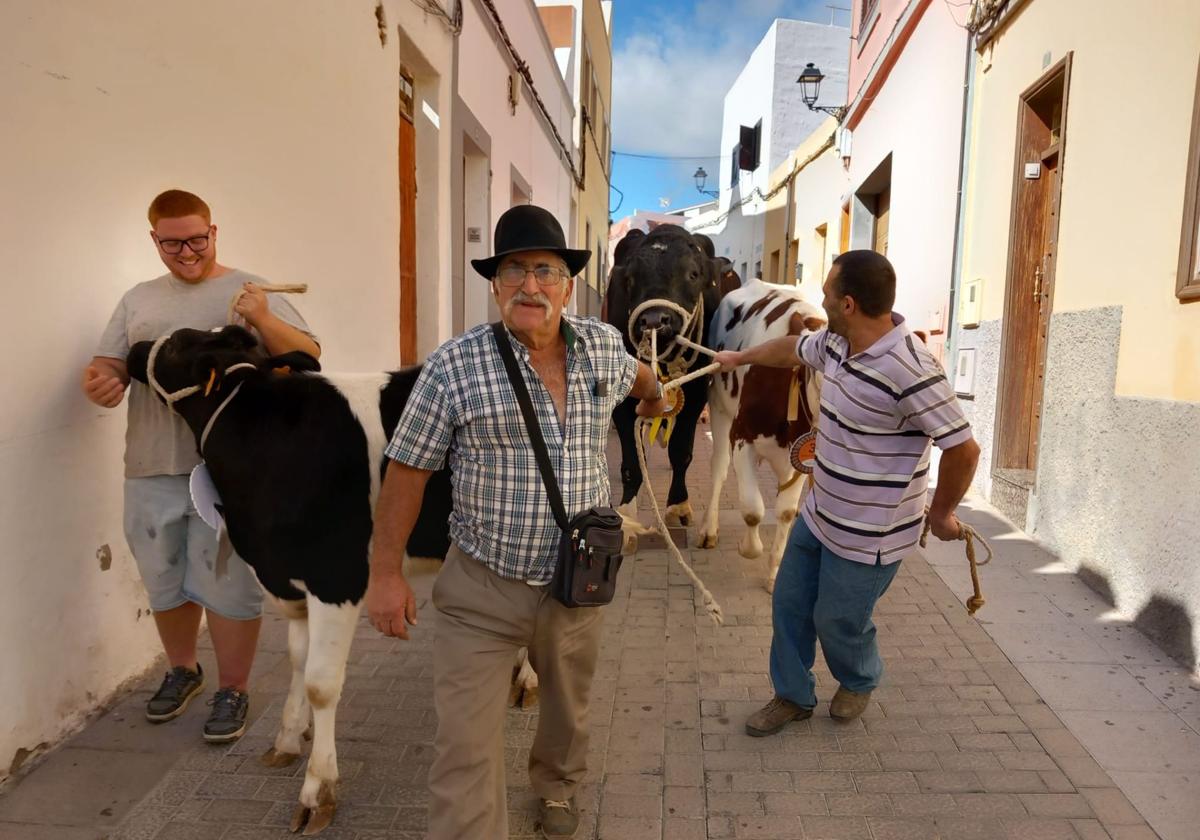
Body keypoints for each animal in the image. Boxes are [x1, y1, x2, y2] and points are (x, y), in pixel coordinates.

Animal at [126, 326, 451, 835]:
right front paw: (288, 738)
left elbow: (322, 681)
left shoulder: (337, 576)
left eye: (177, 342)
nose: (134, 348)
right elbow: (299, 659)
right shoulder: (287, 579)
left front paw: (318, 791)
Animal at [696, 278, 825, 588]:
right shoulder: (743, 437)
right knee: (719, 468)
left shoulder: (801, 454)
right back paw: (709, 528)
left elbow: (785, 511)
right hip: (719, 407)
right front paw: (748, 548)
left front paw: (775, 571)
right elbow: (753, 509)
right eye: (820, 372)